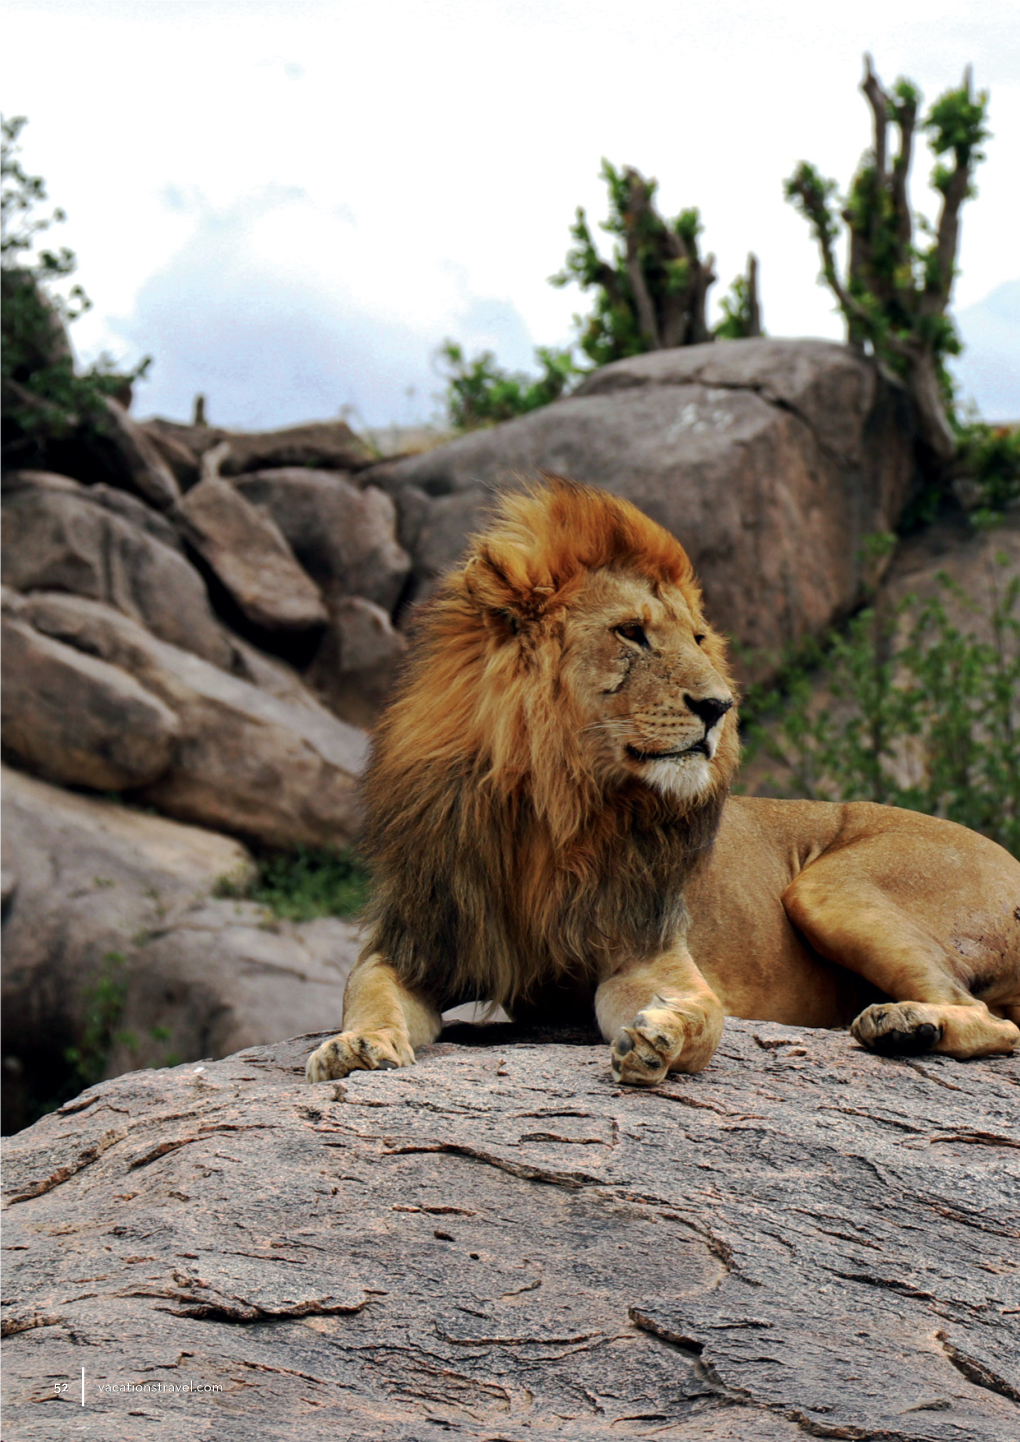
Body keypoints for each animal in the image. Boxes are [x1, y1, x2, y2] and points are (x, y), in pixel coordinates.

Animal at [307, 478, 1020, 1084]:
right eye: (632, 633)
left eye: (699, 639)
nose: (719, 706)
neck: (555, 809)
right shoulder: (414, 942)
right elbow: (370, 995)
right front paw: (356, 1045)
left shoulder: (646, 949)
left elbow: (705, 1013)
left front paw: (664, 1036)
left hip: (829, 888)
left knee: (995, 1021)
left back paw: (904, 1024)